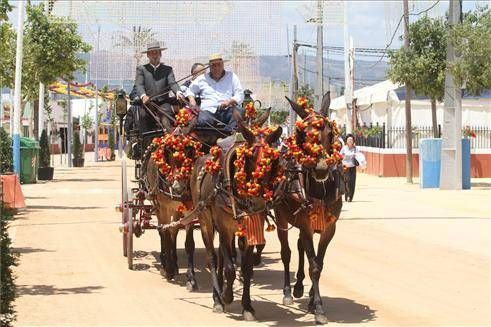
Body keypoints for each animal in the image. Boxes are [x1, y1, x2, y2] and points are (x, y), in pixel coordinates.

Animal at [192, 118, 284, 320]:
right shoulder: (225, 229)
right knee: (212, 257)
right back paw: (217, 299)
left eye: (273, 160)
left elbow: (246, 268)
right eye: (249, 157)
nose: (257, 201)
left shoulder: (249, 229)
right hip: (205, 221)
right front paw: (226, 296)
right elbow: (230, 269)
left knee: (220, 256)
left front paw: (247, 306)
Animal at [274, 94, 344, 326]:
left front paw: (313, 300)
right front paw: (319, 308)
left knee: (300, 247)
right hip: (281, 219)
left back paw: (299, 287)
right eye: (304, 134)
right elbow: (313, 264)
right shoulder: (305, 224)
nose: (321, 169)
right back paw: (288, 291)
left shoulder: (329, 228)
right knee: (286, 252)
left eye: (330, 133)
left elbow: (318, 263)